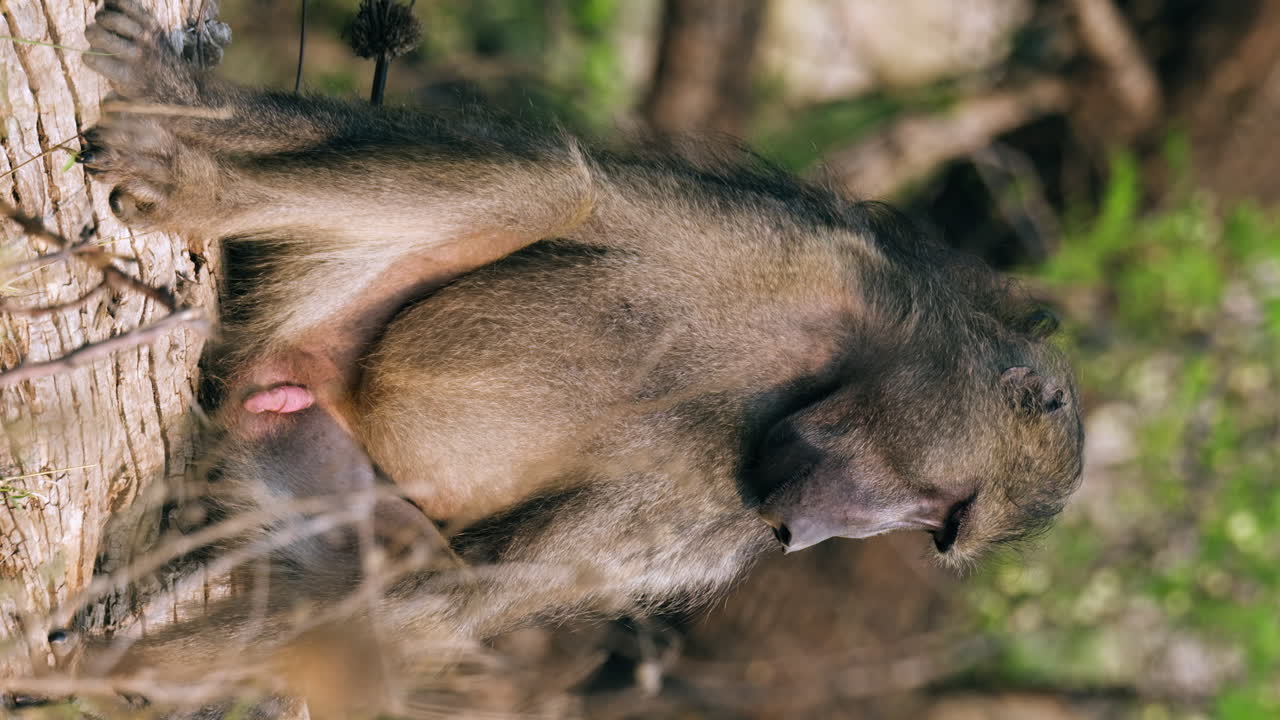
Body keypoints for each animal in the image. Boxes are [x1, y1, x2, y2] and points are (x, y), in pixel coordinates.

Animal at [68, 0, 1083, 714]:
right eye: (944, 513)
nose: (810, 538)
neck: (812, 390)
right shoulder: (814, 262)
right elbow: (575, 192)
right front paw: (189, 106)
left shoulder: (715, 530)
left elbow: (445, 598)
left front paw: (98, 679)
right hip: (319, 314)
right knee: (542, 191)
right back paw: (207, 178)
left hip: (299, 411)